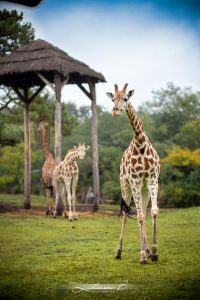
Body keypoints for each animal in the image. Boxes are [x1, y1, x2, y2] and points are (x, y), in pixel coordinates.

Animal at [105, 83, 160, 264]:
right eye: (113, 99)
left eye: (125, 98)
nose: (115, 111)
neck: (141, 145)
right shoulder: (135, 181)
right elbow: (140, 217)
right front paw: (142, 256)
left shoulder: (152, 179)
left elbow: (152, 212)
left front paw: (154, 253)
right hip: (125, 186)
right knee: (125, 214)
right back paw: (119, 252)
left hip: (143, 189)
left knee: (141, 211)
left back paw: (148, 251)